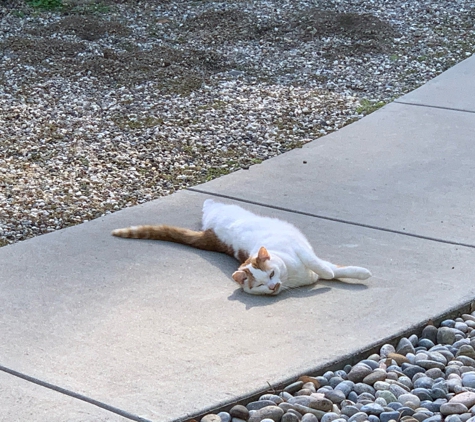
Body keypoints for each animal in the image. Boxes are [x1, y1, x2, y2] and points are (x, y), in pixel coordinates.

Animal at [111, 199, 372, 296]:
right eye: (259, 286)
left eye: (272, 273)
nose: (273, 286)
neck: (292, 277)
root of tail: (210, 234)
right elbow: (329, 270)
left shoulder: (300, 250)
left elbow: (328, 267)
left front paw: (359, 273)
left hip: (224, 210)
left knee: (210, 203)